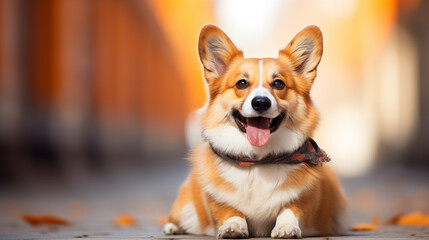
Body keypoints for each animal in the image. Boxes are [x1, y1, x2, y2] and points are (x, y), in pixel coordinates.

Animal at [164, 24, 348, 238]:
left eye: (278, 83)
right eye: (242, 83)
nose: (260, 102)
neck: (258, 161)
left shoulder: (306, 198)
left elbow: (290, 208)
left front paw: (286, 228)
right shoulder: (217, 200)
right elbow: (229, 210)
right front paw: (233, 227)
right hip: (185, 205)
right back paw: (172, 227)